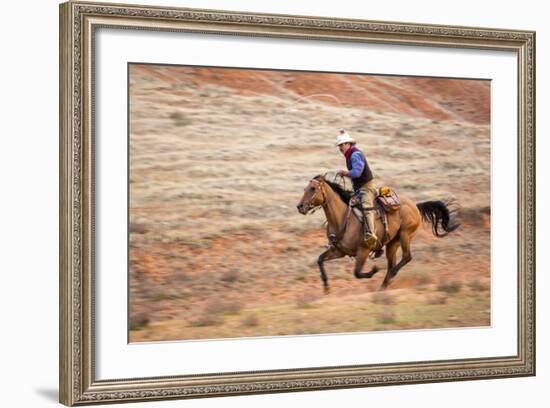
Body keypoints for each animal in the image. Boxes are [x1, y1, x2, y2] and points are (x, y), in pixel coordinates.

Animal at [298, 175, 462, 294]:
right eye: (305, 188)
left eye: (312, 188)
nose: (300, 206)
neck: (342, 218)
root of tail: (415, 205)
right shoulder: (339, 251)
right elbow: (320, 260)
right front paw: (326, 286)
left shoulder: (363, 250)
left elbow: (357, 273)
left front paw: (374, 270)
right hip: (392, 243)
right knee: (392, 264)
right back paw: (383, 286)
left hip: (405, 235)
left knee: (406, 257)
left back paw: (389, 277)